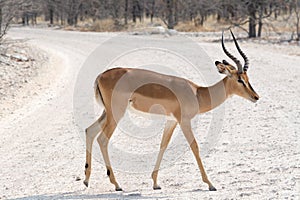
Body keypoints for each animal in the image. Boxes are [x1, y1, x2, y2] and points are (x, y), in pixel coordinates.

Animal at [83, 30, 258, 191]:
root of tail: (100, 76)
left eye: (248, 78)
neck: (197, 93)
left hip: (108, 113)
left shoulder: (171, 121)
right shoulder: (184, 121)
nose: (256, 97)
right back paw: (117, 184)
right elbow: (195, 146)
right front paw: (210, 184)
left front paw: (155, 183)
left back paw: (86, 180)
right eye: (240, 80)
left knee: (89, 130)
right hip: (116, 113)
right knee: (102, 139)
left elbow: (163, 145)